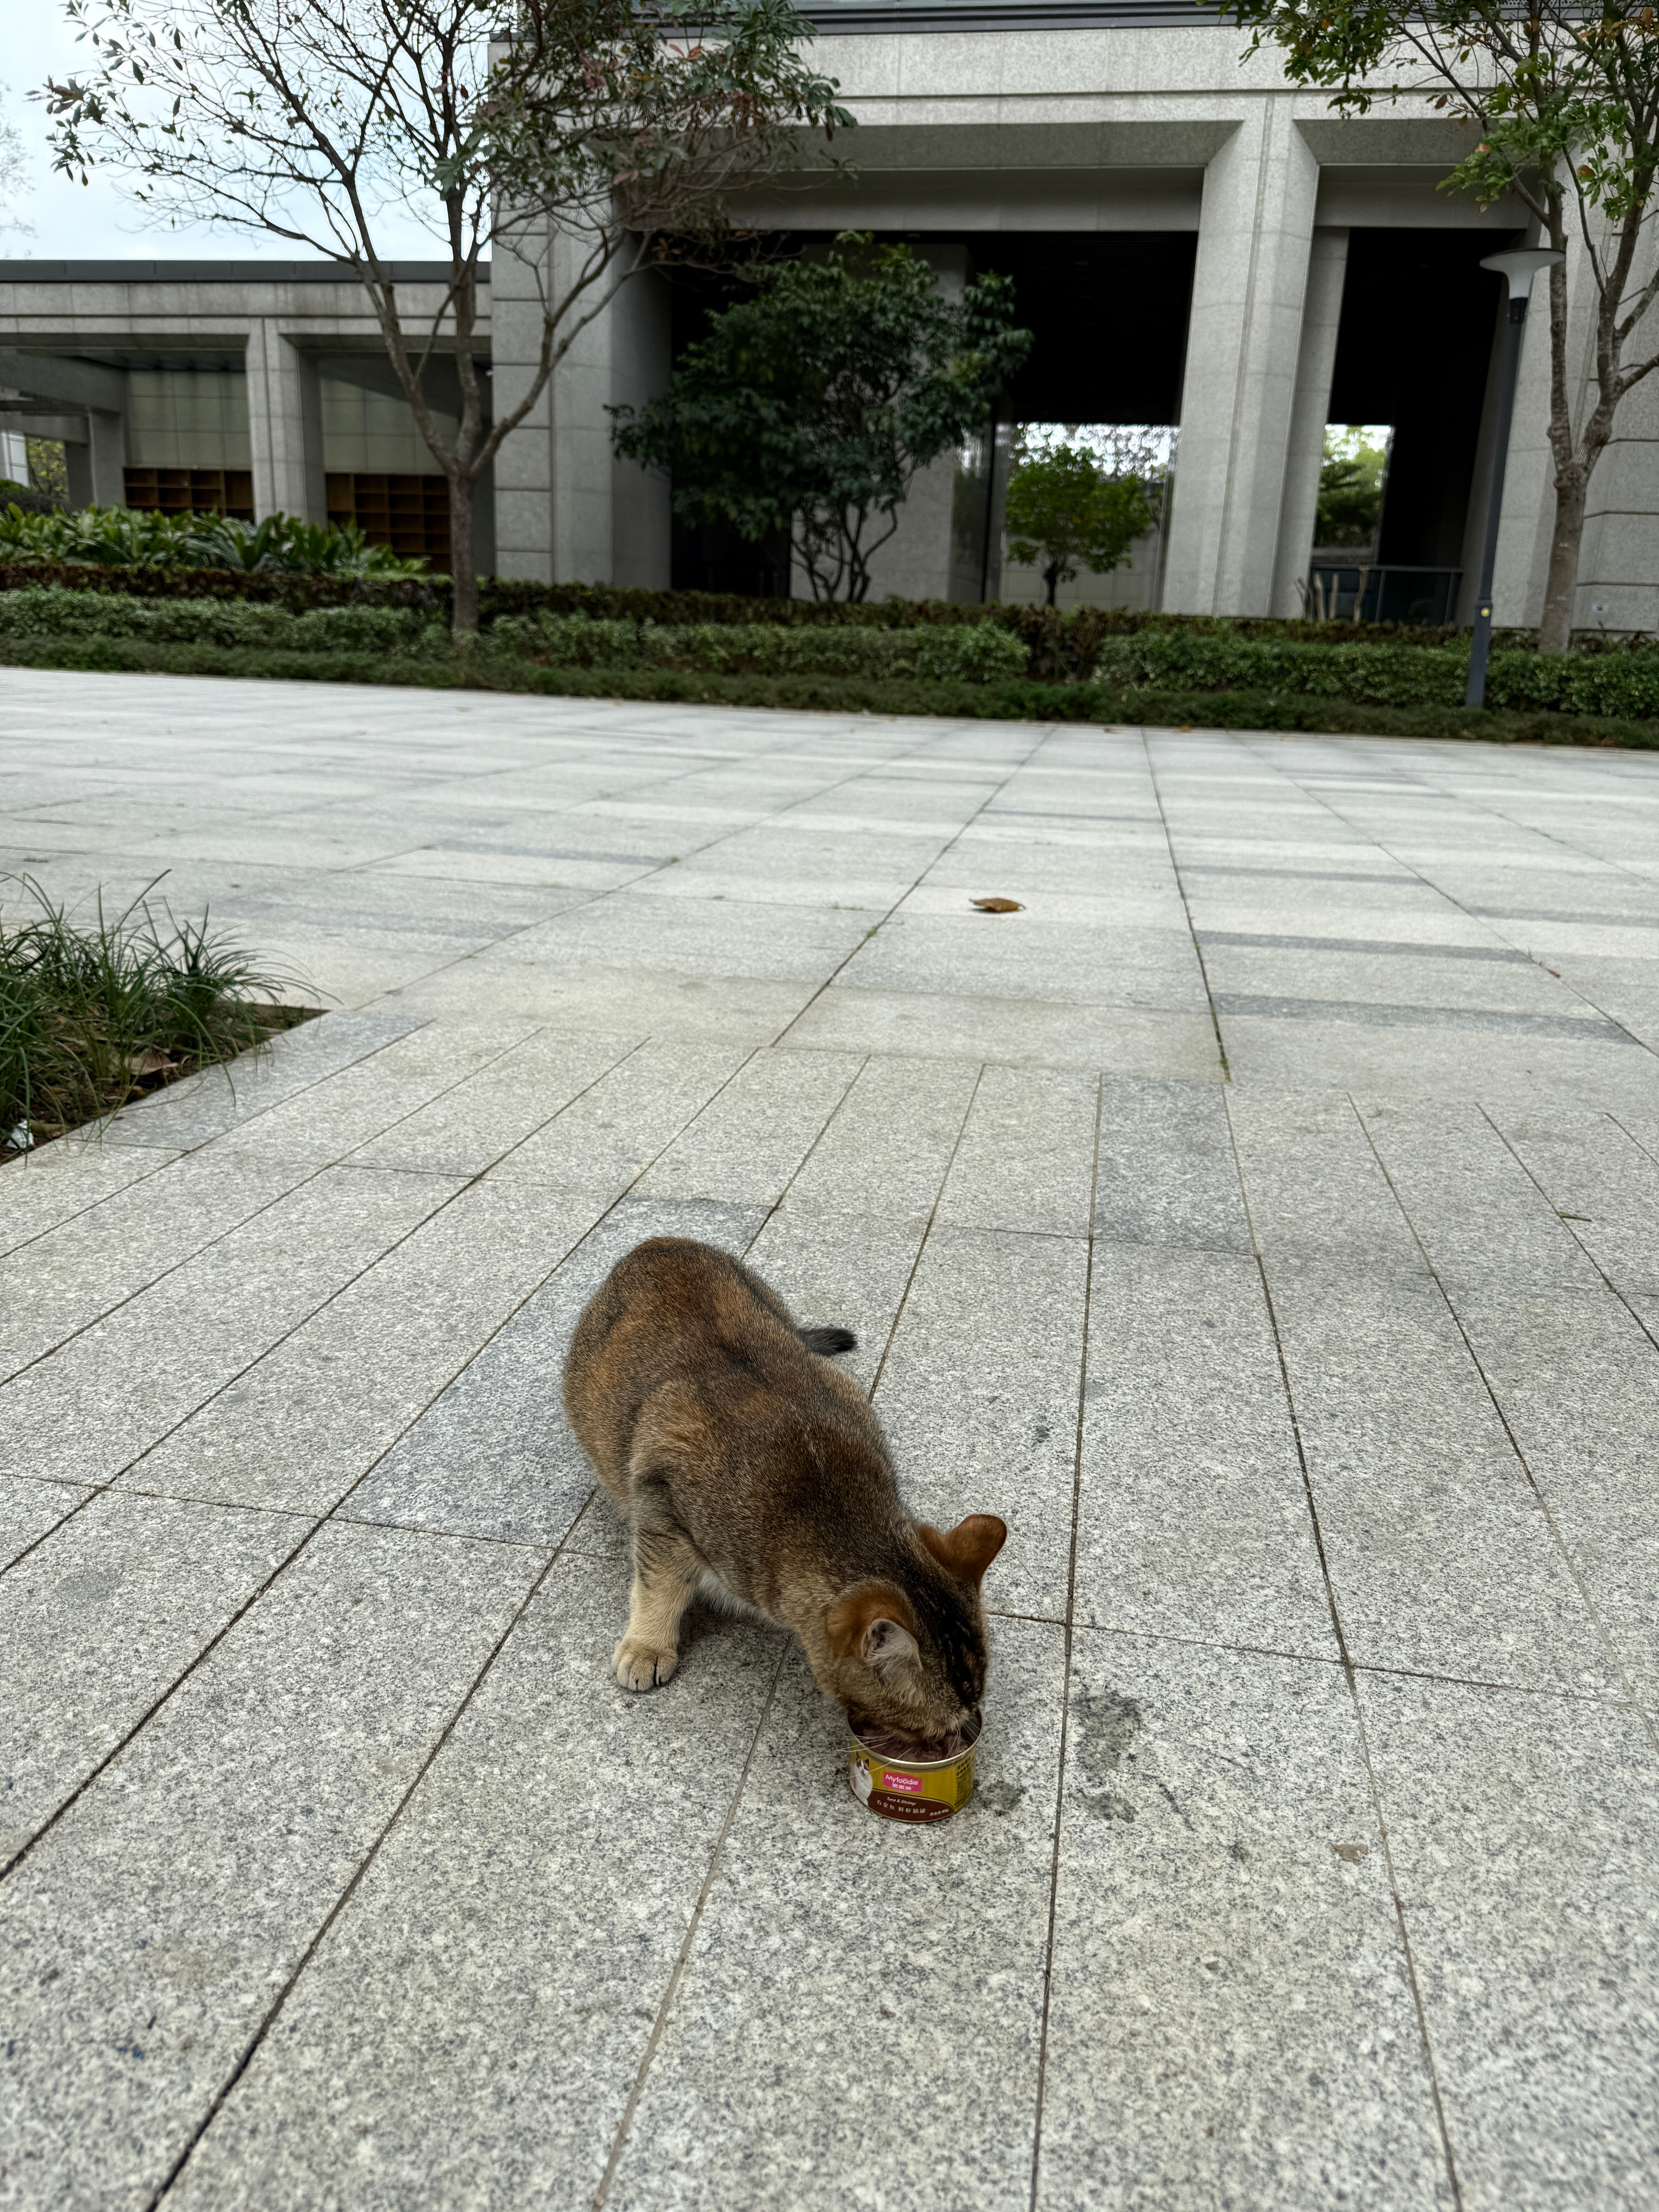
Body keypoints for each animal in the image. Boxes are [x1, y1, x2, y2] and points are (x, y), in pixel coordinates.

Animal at [566, 1238, 1008, 1734]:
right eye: (931, 1731)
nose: (971, 1729)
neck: (827, 1496)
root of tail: (659, 1243)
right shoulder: (661, 1504)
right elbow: (657, 1586)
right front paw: (648, 1645)